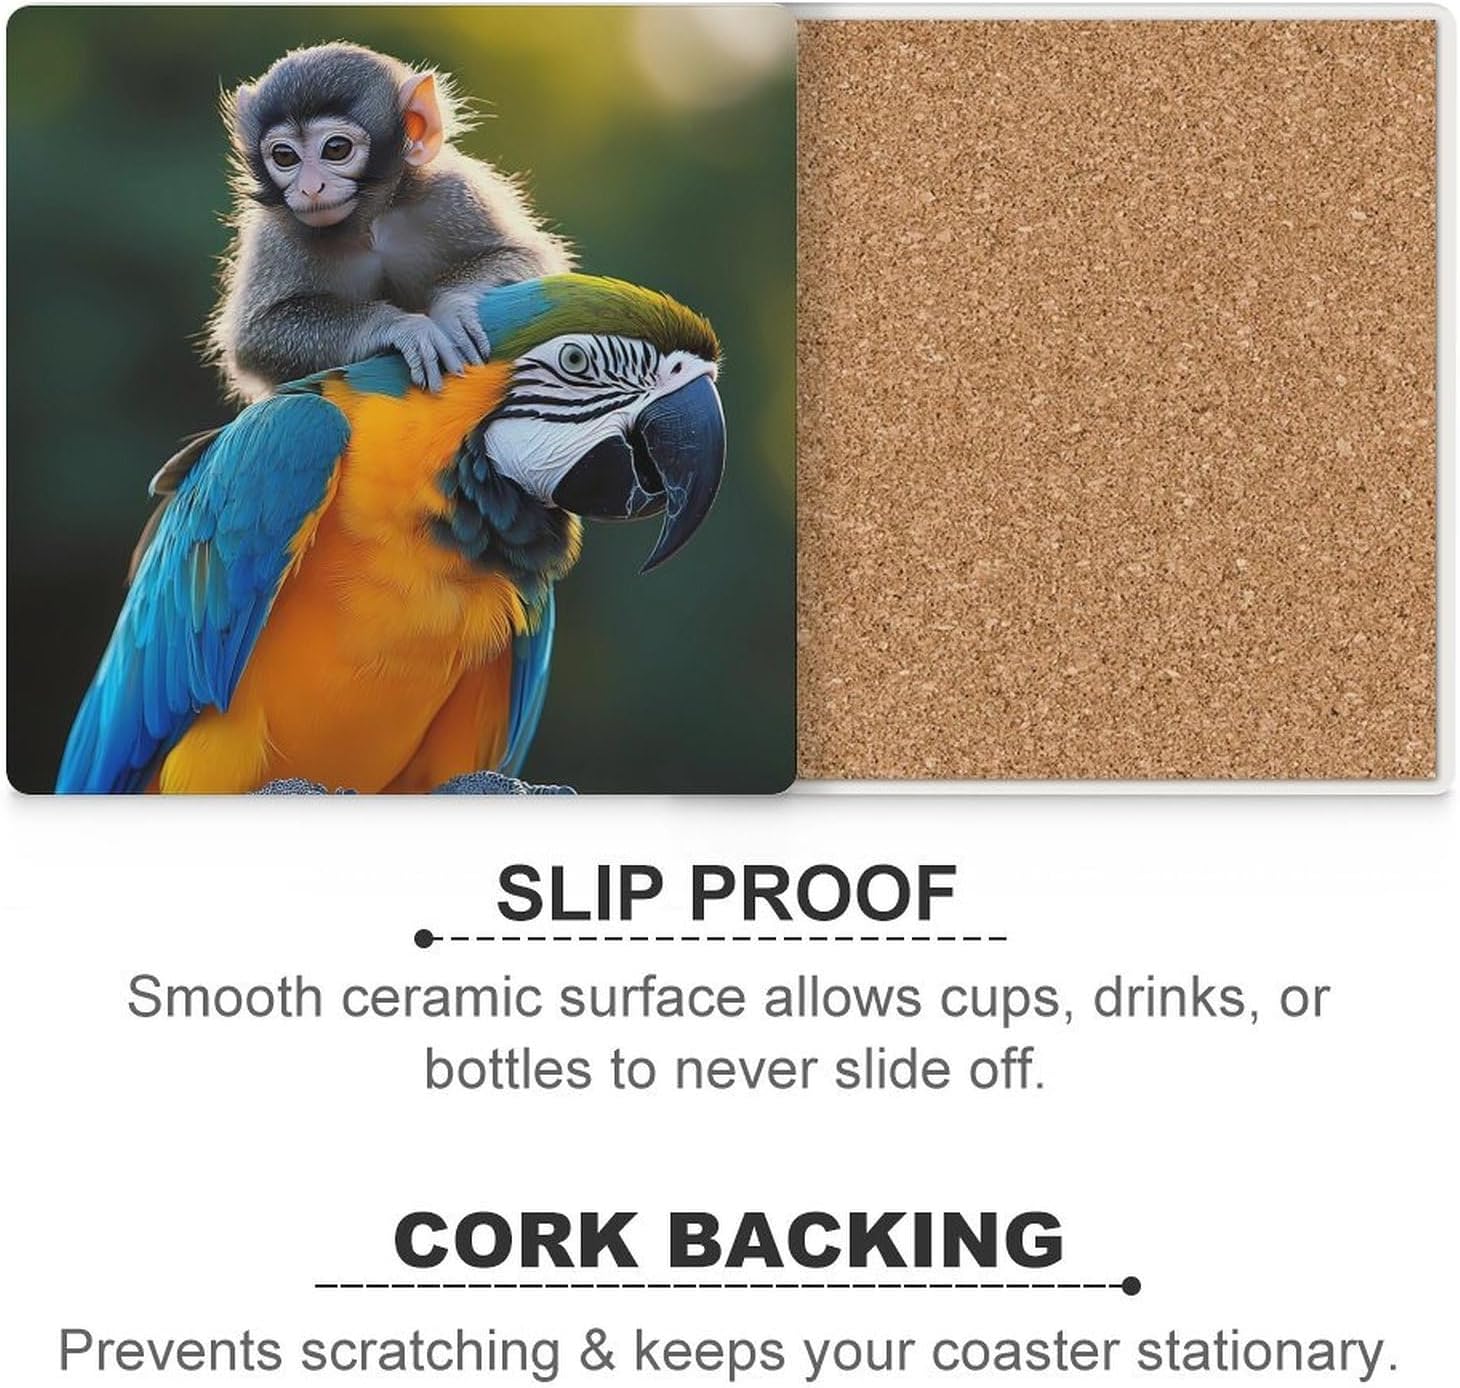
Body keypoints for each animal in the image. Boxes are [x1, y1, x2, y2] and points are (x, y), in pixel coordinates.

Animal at [207, 42, 571, 402]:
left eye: (335, 149)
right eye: (284, 156)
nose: (310, 188)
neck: (370, 222)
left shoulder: (453, 191)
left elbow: (529, 259)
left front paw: (453, 305)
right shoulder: (274, 234)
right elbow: (257, 337)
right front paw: (399, 326)